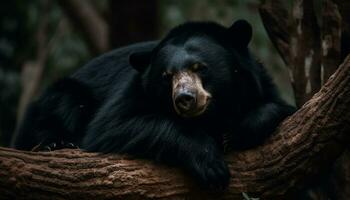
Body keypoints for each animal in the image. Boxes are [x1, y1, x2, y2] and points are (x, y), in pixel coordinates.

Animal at [11, 19, 296, 188]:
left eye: (200, 67)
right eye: (166, 76)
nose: (185, 99)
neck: (210, 115)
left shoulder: (258, 85)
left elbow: (278, 108)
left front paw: (235, 133)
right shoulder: (133, 91)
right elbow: (111, 127)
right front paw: (211, 165)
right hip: (60, 96)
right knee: (64, 103)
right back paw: (55, 144)